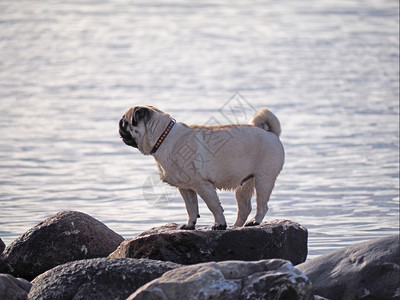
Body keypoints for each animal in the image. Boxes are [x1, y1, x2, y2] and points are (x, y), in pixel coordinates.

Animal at [119, 105, 284, 230]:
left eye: (125, 122)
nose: (119, 125)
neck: (162, 136)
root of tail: (271, 133)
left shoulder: (203, 185)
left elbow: (214, 206)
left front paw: (219, 225)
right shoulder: (185, 188)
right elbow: (191, 208)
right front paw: (190, 225)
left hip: (263, 180)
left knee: (262, 205)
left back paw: (255, 222)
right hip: (245, 184)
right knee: (244, 208)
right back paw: (236, 226)